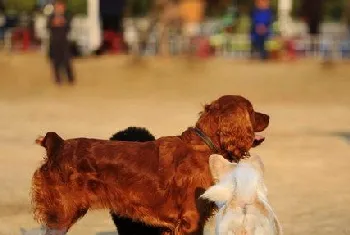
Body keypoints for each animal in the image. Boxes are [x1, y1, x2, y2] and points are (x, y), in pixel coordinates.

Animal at [31, 94, 270, 234]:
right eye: (251, 110)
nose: (268, 116)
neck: (203, 146)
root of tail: (57, 145)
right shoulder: (191, 219)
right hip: (60, 216)